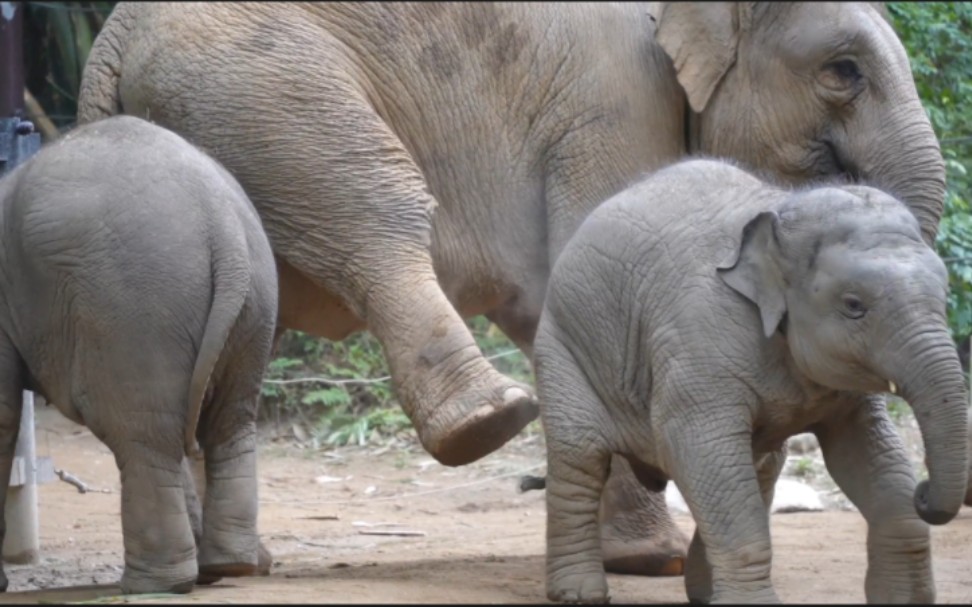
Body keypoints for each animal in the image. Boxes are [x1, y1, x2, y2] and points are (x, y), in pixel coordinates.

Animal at [0, 115, 280, 592]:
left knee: (140, 435)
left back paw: (152, 585)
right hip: (253, 303)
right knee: (228, 424)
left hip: (133, 306)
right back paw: (228, 567)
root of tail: (222, 225)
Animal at [536, 159, 968, 604]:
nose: (924, 492)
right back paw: (578, 593)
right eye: (853, 305)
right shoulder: (700, 339)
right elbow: (696, 446)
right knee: (581, 456)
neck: (780, 212)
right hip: (562, 345)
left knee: (759, 466)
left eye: (944, 291)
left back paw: (703, 595)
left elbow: (867, 450)